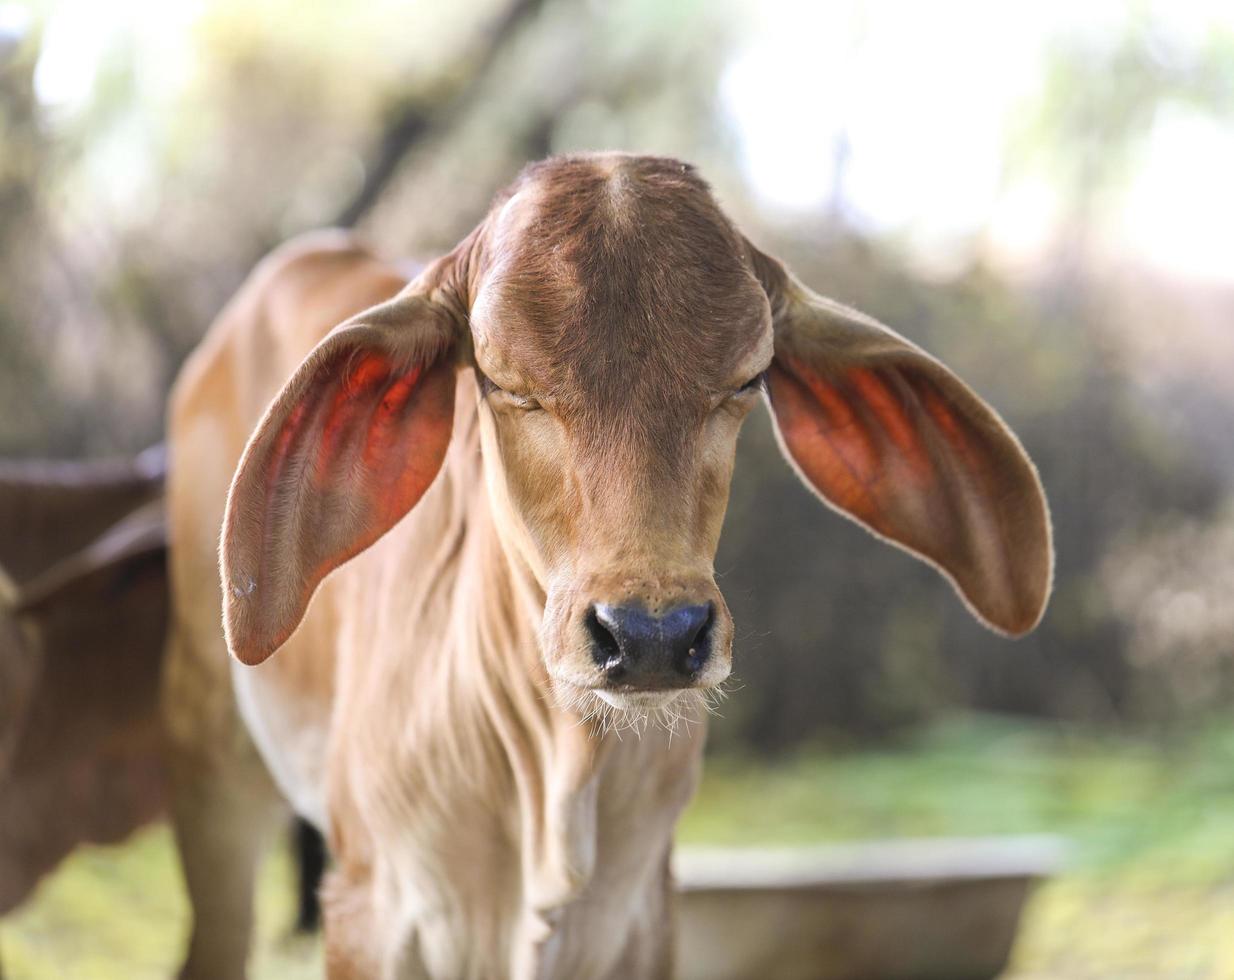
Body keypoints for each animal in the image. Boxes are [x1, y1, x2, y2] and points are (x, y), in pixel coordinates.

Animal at [164, 148, 1051, 972]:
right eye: (503, 380)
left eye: (747, 379)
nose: (653, 636)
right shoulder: (370, 907)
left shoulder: (644, 912)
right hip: (215, 775)